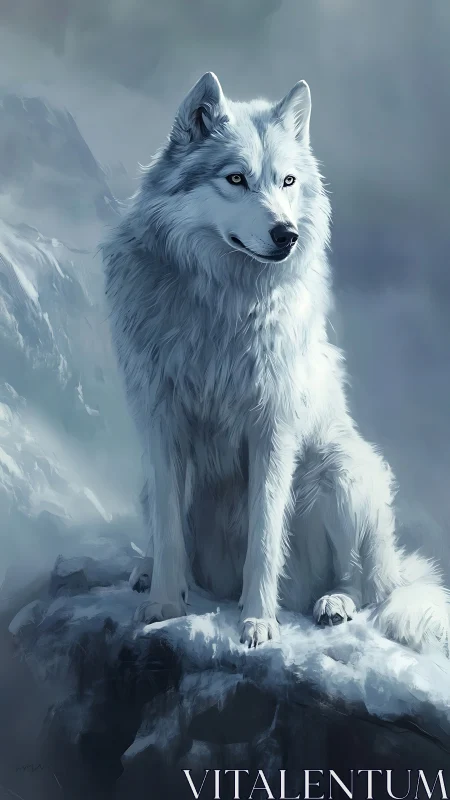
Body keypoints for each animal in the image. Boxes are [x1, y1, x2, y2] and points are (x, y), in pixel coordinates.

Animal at [103, 72, 450, 653]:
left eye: (287, 181)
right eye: (236, 179)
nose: (286, 235)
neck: (221, 304)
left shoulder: (272, 430)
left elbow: (265, 540)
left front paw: (258, 623)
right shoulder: (162, 425)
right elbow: (171, 533)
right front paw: (164, 605)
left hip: (341, 472)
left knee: (362, 585)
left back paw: (332, 604)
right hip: (152, 485)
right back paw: (155, 574)